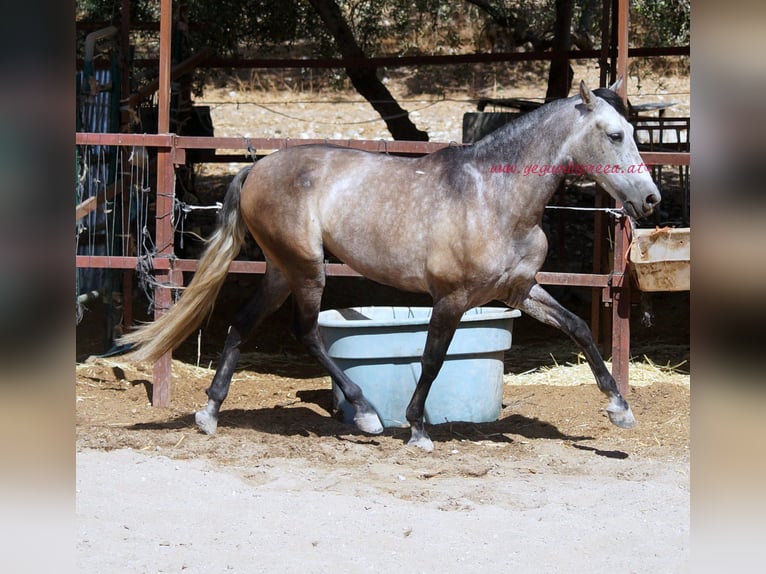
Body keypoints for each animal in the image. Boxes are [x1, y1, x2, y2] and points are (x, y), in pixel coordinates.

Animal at [123, 81, 664, 452]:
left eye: (634, 133)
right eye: (614, 135)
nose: (650, 200)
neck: (493, 198)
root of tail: (255, 167)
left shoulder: (520, 289)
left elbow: (579, 329)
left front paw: (619, 409)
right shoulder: (451, 298)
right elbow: (432, 359)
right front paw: (418, 429)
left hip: (279, 270)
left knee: (242, 324)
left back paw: (210, 412)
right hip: (307, 269)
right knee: (306, 332)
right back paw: (365, 414)